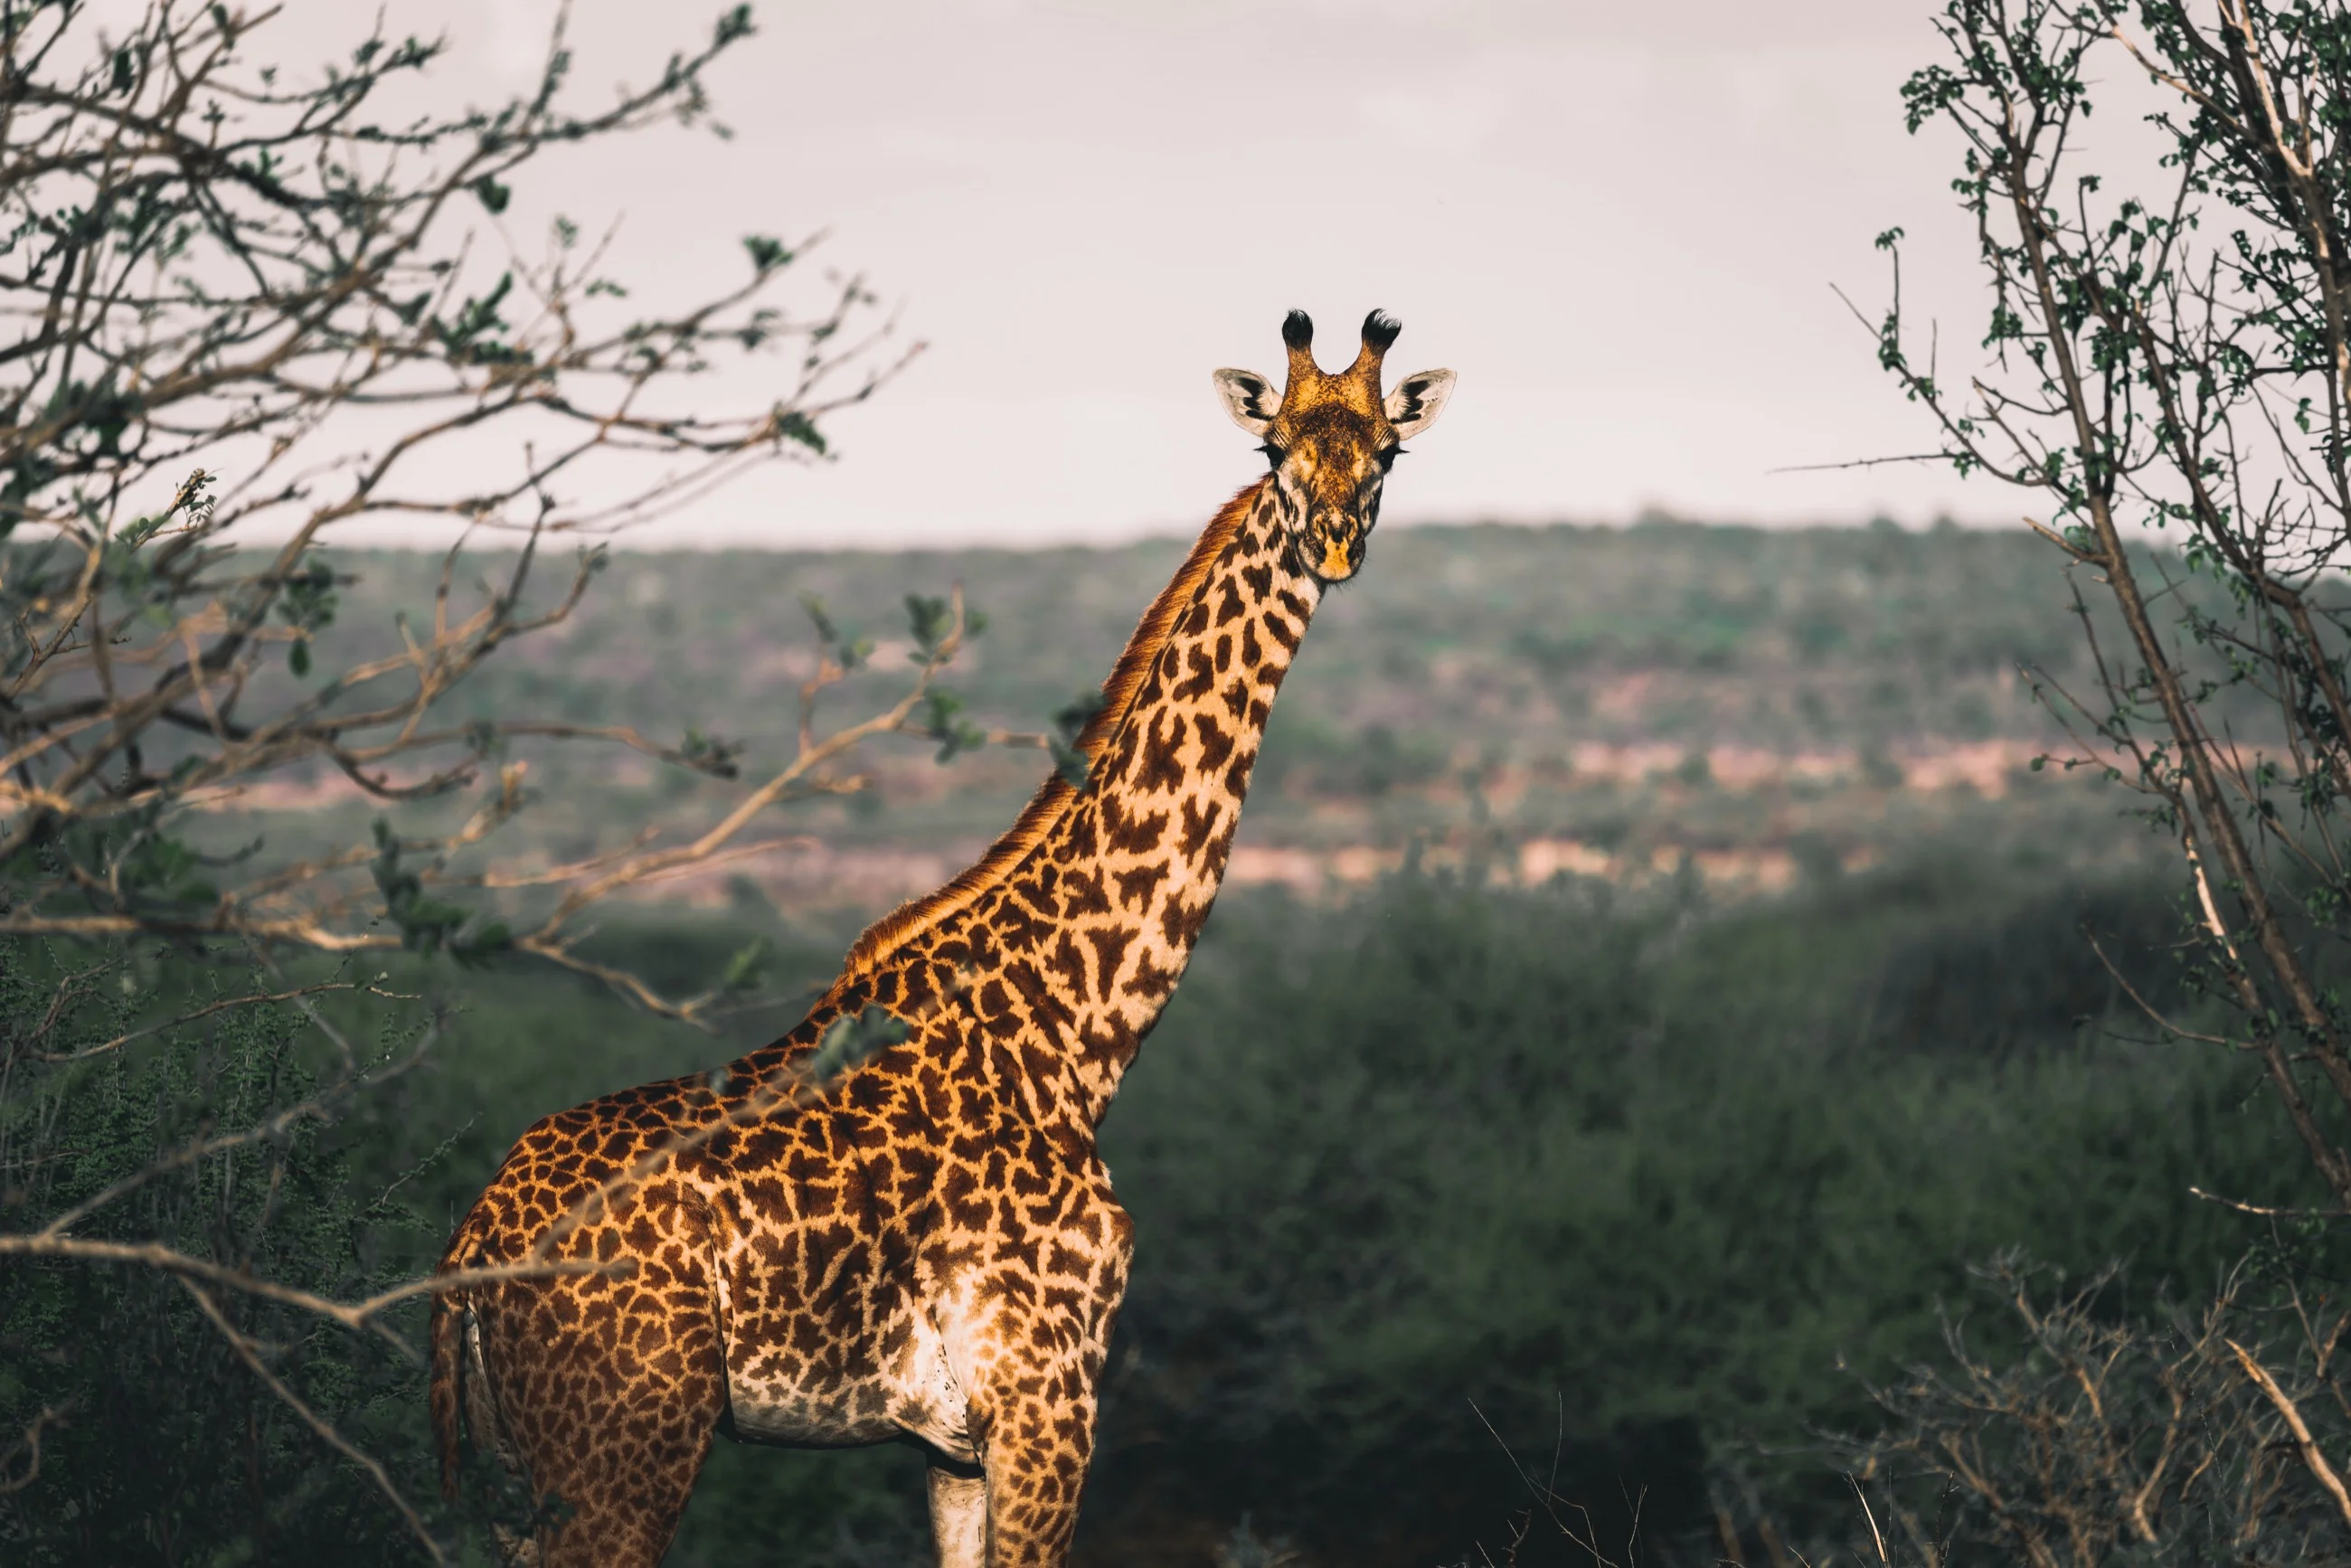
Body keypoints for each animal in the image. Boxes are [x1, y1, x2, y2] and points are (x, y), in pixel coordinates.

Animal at [428, 309, 1455, 1567]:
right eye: (1275, 453)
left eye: (1386, 452)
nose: (1333, 544)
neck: (1077, 1033)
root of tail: (471, 1250)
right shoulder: (1045, 1400)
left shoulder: (950, 1443)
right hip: (623, 1457)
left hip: (525, 1474)